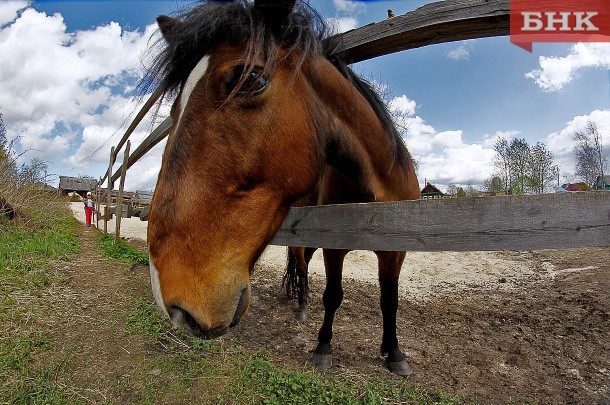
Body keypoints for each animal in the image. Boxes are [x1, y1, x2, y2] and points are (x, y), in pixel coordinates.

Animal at [144, 0, 418, 376]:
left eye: (251, 79)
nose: (170, 299)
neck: (375, 197)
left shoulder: (396, 250)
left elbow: (389, 300)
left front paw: (394, 353)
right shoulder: (335, 246)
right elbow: (333, 295)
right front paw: (323, 347)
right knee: (301, 265)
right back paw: (301, 305)